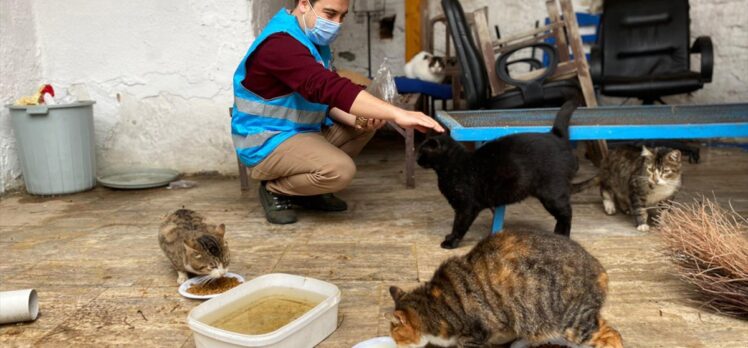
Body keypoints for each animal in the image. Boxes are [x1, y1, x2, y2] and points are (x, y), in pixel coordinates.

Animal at [388, 230, 624, 346]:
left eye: (396, 337)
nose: (396, 345)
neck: (433, 306)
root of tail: (600, 269)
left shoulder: (474, 336)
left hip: (571, 322)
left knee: (612, 335)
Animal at [418, 99, 580, 249]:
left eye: (421, 151)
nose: (417, 158)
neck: (452, 166)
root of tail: (555, 136)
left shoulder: (466, 207)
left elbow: (459, 225)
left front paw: (451, 242)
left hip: (552, 195)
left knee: (567, 214)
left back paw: (563, 236)